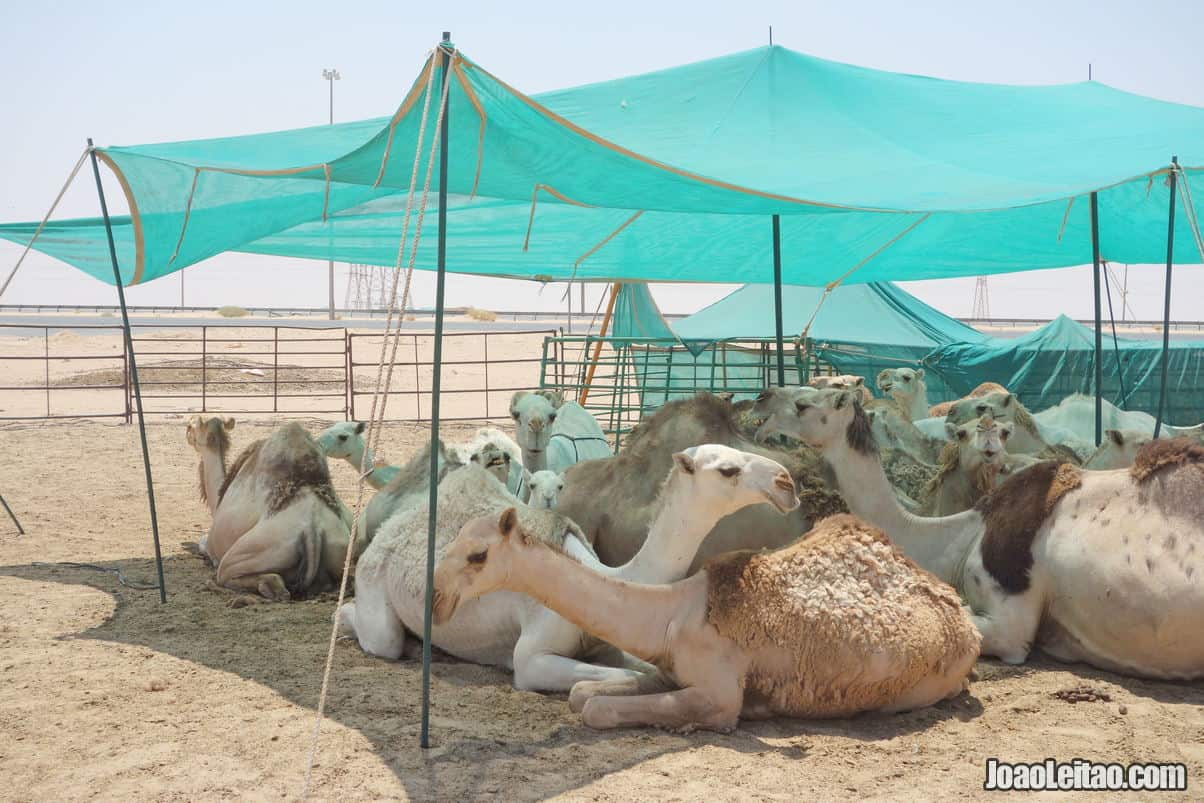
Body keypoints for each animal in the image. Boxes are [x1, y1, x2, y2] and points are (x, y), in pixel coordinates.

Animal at [199, 423, 351, 599]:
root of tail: (313, 531)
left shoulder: (211, 545)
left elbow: (202, 544)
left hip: (251, 551)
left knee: (229, 574)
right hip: (342, 550)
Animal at [339, 443, 799, 693]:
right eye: (728, 470)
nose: (786, 481)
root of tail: (386, 530)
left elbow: (643, 666)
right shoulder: (532, 657)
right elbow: (617, 675)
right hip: (374, 580)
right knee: (376, 632)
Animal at [438, 512, 982, 731]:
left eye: (478, 555)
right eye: (453, 542)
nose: (439, 597)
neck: (673, 614)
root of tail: (964, 619)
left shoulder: (719, 693)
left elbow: (595, 709)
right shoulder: (668, 669)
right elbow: (581, 694)